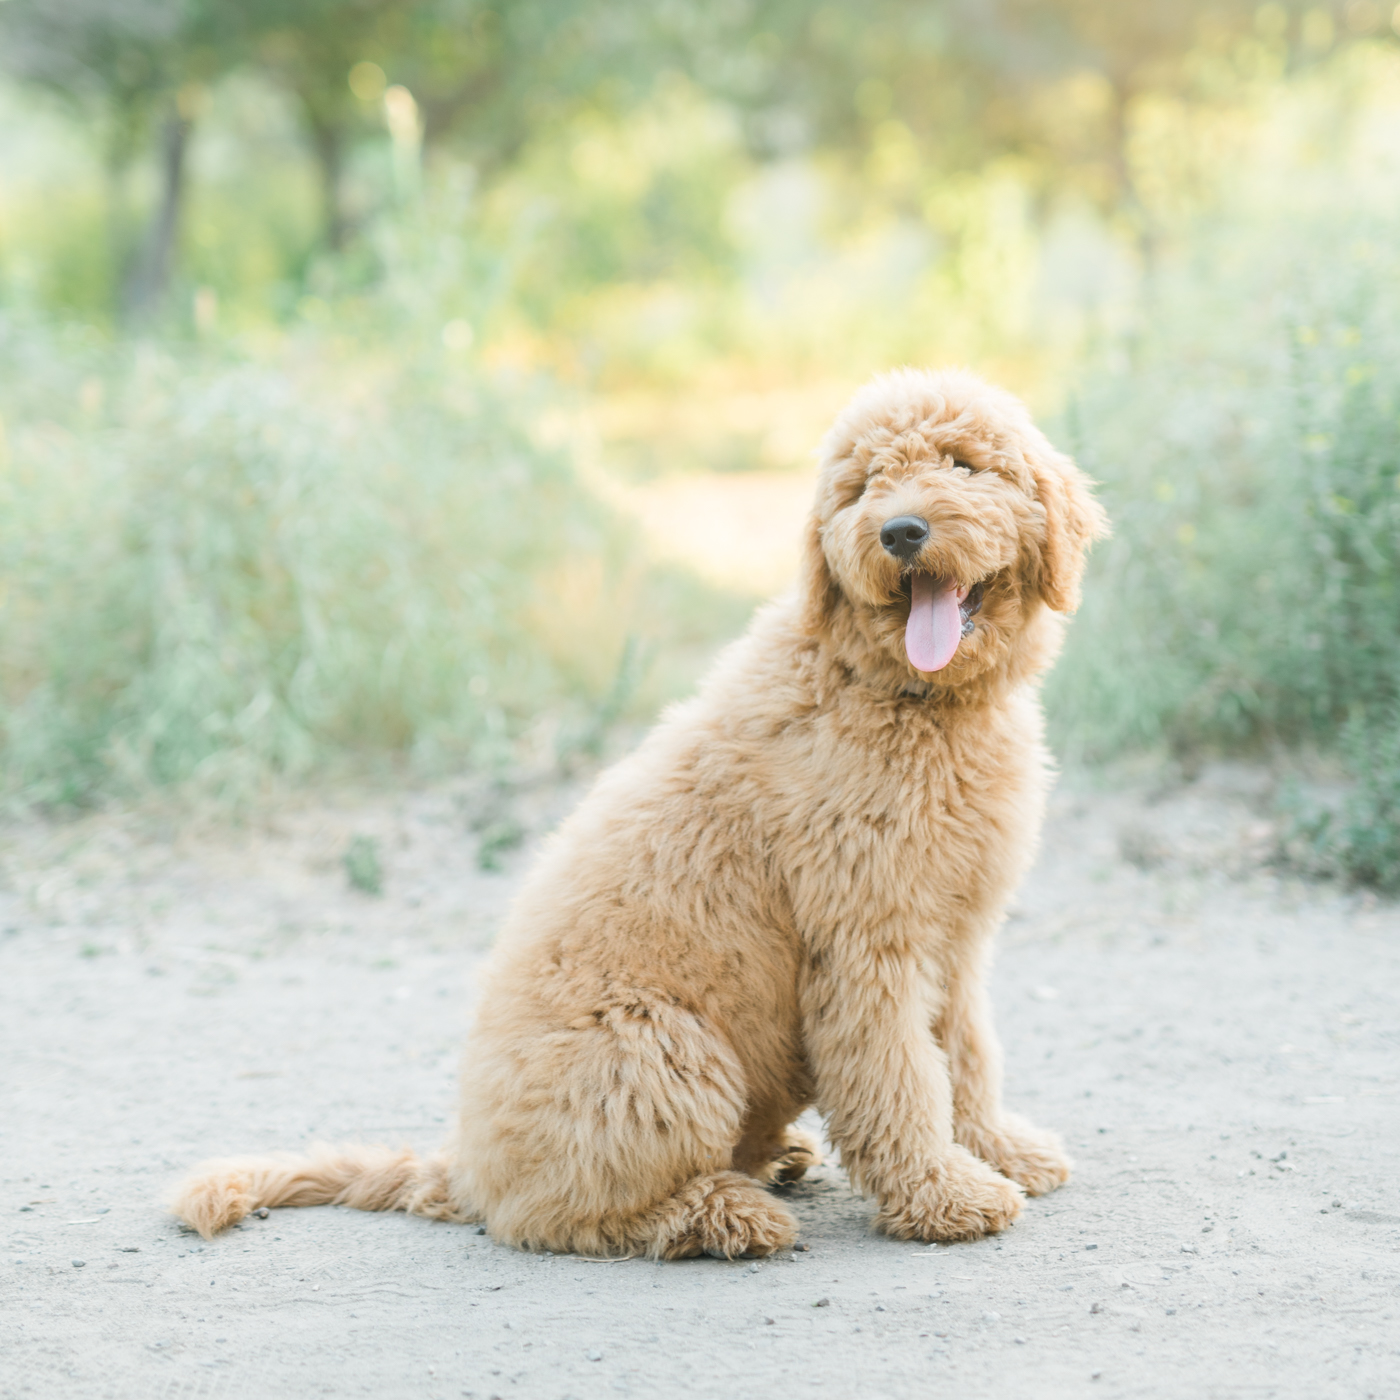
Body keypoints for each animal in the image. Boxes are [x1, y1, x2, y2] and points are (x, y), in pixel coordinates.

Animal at [175, 366, 1108, 1265]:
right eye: (863, 486)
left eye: (963, 464)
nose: (902, 532)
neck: (894, 691)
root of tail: (467, 1170)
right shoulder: (866, 943)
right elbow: (902, 1076)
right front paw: (944, 1196)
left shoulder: (956, 934)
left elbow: (968, 1055)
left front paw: (997, 1150)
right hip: (660, 1050)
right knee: (565, 1217)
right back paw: (723, 1217)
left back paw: (772, 1163)